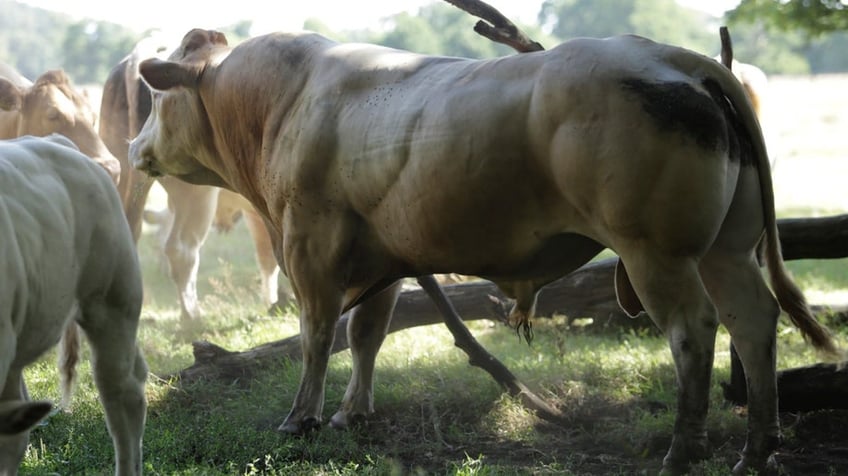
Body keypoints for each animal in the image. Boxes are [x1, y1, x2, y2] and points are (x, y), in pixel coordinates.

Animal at [129, 29, 840, 476]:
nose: (135, 147)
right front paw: (352, 413)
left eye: (159, 99)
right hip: (727, 249)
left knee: (694, 331)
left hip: (657, 253)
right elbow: (366, 335)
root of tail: (677, 58)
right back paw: (756, 448)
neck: (288, 100)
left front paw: (300, 418)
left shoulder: (311, 246)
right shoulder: (382, 258)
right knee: (754, 321)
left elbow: (316, 336)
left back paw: (681, 453)